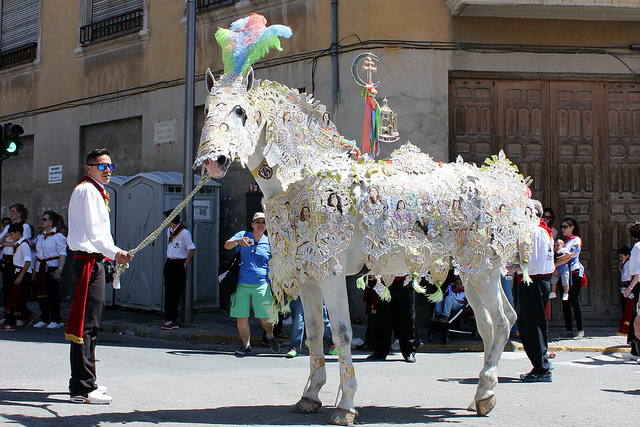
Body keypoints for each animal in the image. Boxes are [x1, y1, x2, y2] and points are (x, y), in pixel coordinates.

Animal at [198, 12, 536, 424]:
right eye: (206, 110)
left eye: (241, 111)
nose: (213, 161)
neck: (306, 176)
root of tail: (505, 187)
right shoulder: (308, 274)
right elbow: (315, 333)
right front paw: (310, 396)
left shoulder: (329, 271)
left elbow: (342, 334)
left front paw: (345, 405)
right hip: (472, 272)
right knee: (492, 326)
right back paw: (479, 397)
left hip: (483, 268)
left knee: (502, 322)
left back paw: (486, 394)